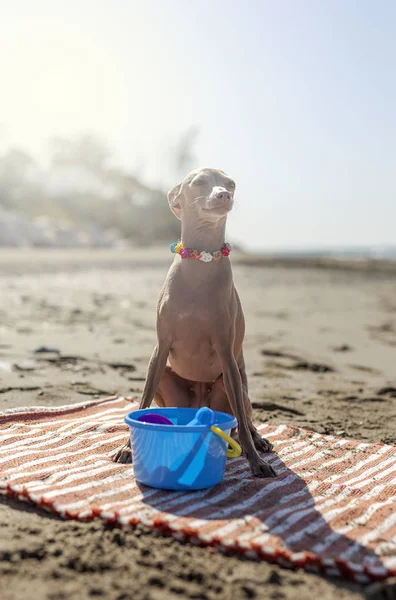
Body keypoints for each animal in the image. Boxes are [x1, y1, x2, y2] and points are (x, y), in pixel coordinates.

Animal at [114, 168, 276, 478]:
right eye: (199, 182)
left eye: (231, 184)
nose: (223, 195)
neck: (202, 263)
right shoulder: (160, 349)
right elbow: (142, 400)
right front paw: (129, 447)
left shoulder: (226, 353)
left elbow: (242, 423)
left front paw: (255, 461)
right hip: (169, 378)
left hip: (233, 383)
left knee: (245, 417)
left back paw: (258, 439)